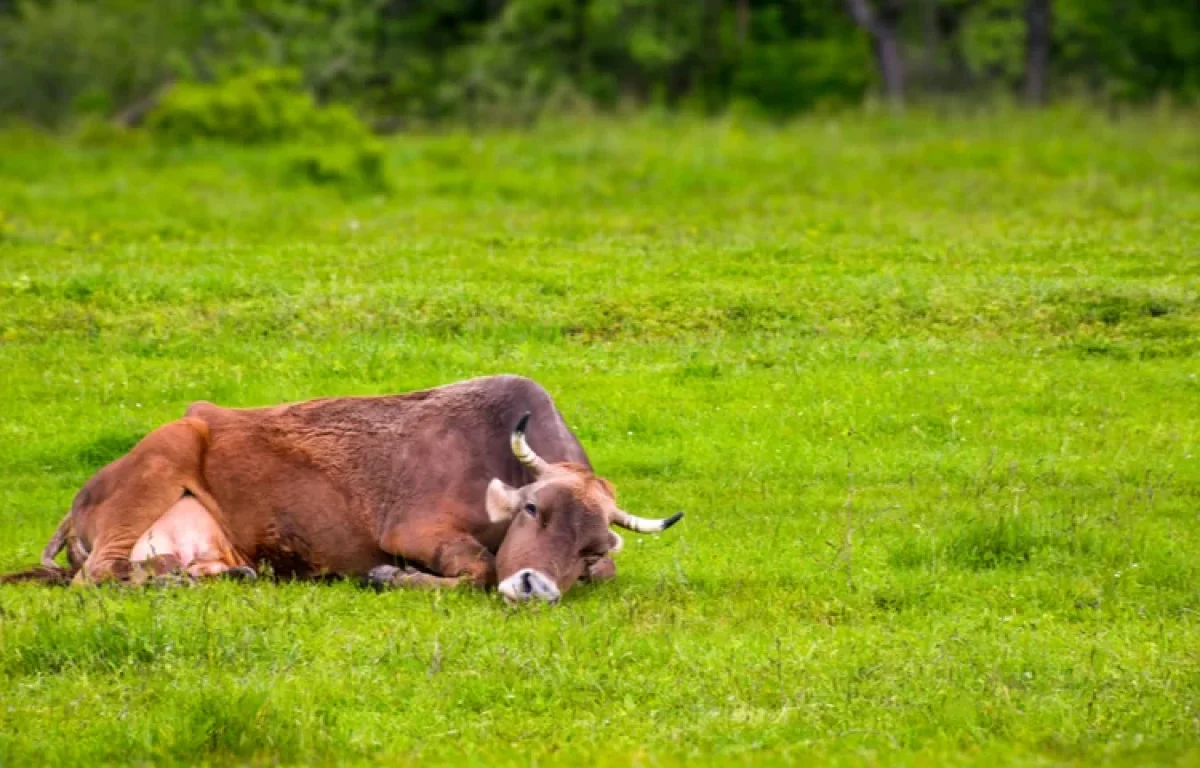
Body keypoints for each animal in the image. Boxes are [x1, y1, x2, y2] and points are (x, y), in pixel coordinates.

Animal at [0, 374, 681, 602]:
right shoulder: (416, 529)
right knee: (100, 576)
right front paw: (386, 576)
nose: (537, 586)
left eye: (592, 548)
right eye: (534, 509)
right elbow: (481, 568)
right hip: (166, 452)